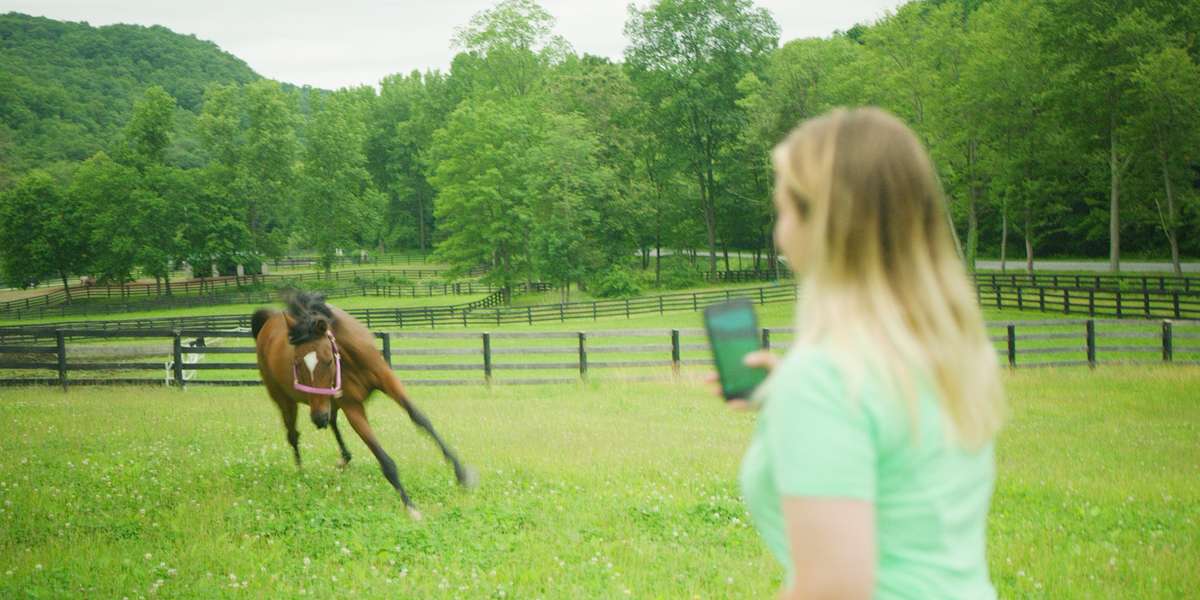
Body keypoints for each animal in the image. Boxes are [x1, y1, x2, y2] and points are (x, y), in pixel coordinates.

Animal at [250, 292, 475, 518]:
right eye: (296, 363)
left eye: (328, 361)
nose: (317, 418)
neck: (350, 358)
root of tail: (267, 323)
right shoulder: (353, 407)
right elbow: (382, 457)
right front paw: (411, 507)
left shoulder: (388, 381)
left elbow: (420, 419)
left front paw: (462, 475)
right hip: (287, 401)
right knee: (293, 435)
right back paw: (302, 473)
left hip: (327, 403)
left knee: (331, 422)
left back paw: (343, 458)